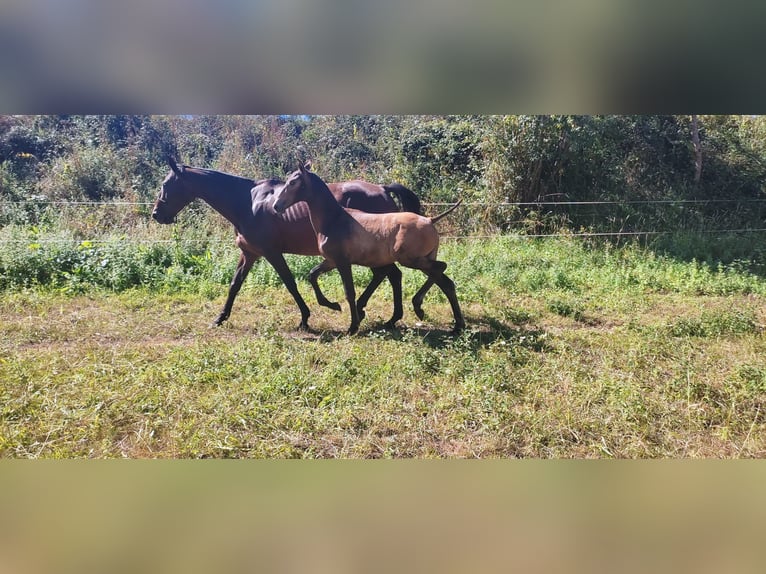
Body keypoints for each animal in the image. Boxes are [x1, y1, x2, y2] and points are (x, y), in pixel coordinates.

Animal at [152, 158, 424, 330]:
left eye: (165, 185)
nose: (156, 214)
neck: (247, 203)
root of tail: (383, 188)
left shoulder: (271, 252)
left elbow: (290, 283)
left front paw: (305, 317)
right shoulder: (249, 253)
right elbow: (234, 285)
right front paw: (219, 318)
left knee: (390, 275)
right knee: (388, 275)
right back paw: (378, 313)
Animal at [276, 164, 468, 336]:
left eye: (293, 182)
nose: (277, 206)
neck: (334, 220)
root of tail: (429, 220)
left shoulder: (342, 262)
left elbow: (349, 292)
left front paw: (352, 327)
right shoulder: (330, 261)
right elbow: (312, 275)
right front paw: (333, 305)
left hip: (411, 260)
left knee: (440, 269)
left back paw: (420, 308)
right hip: (422, 260)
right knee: (445, 282)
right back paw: (453, 325)